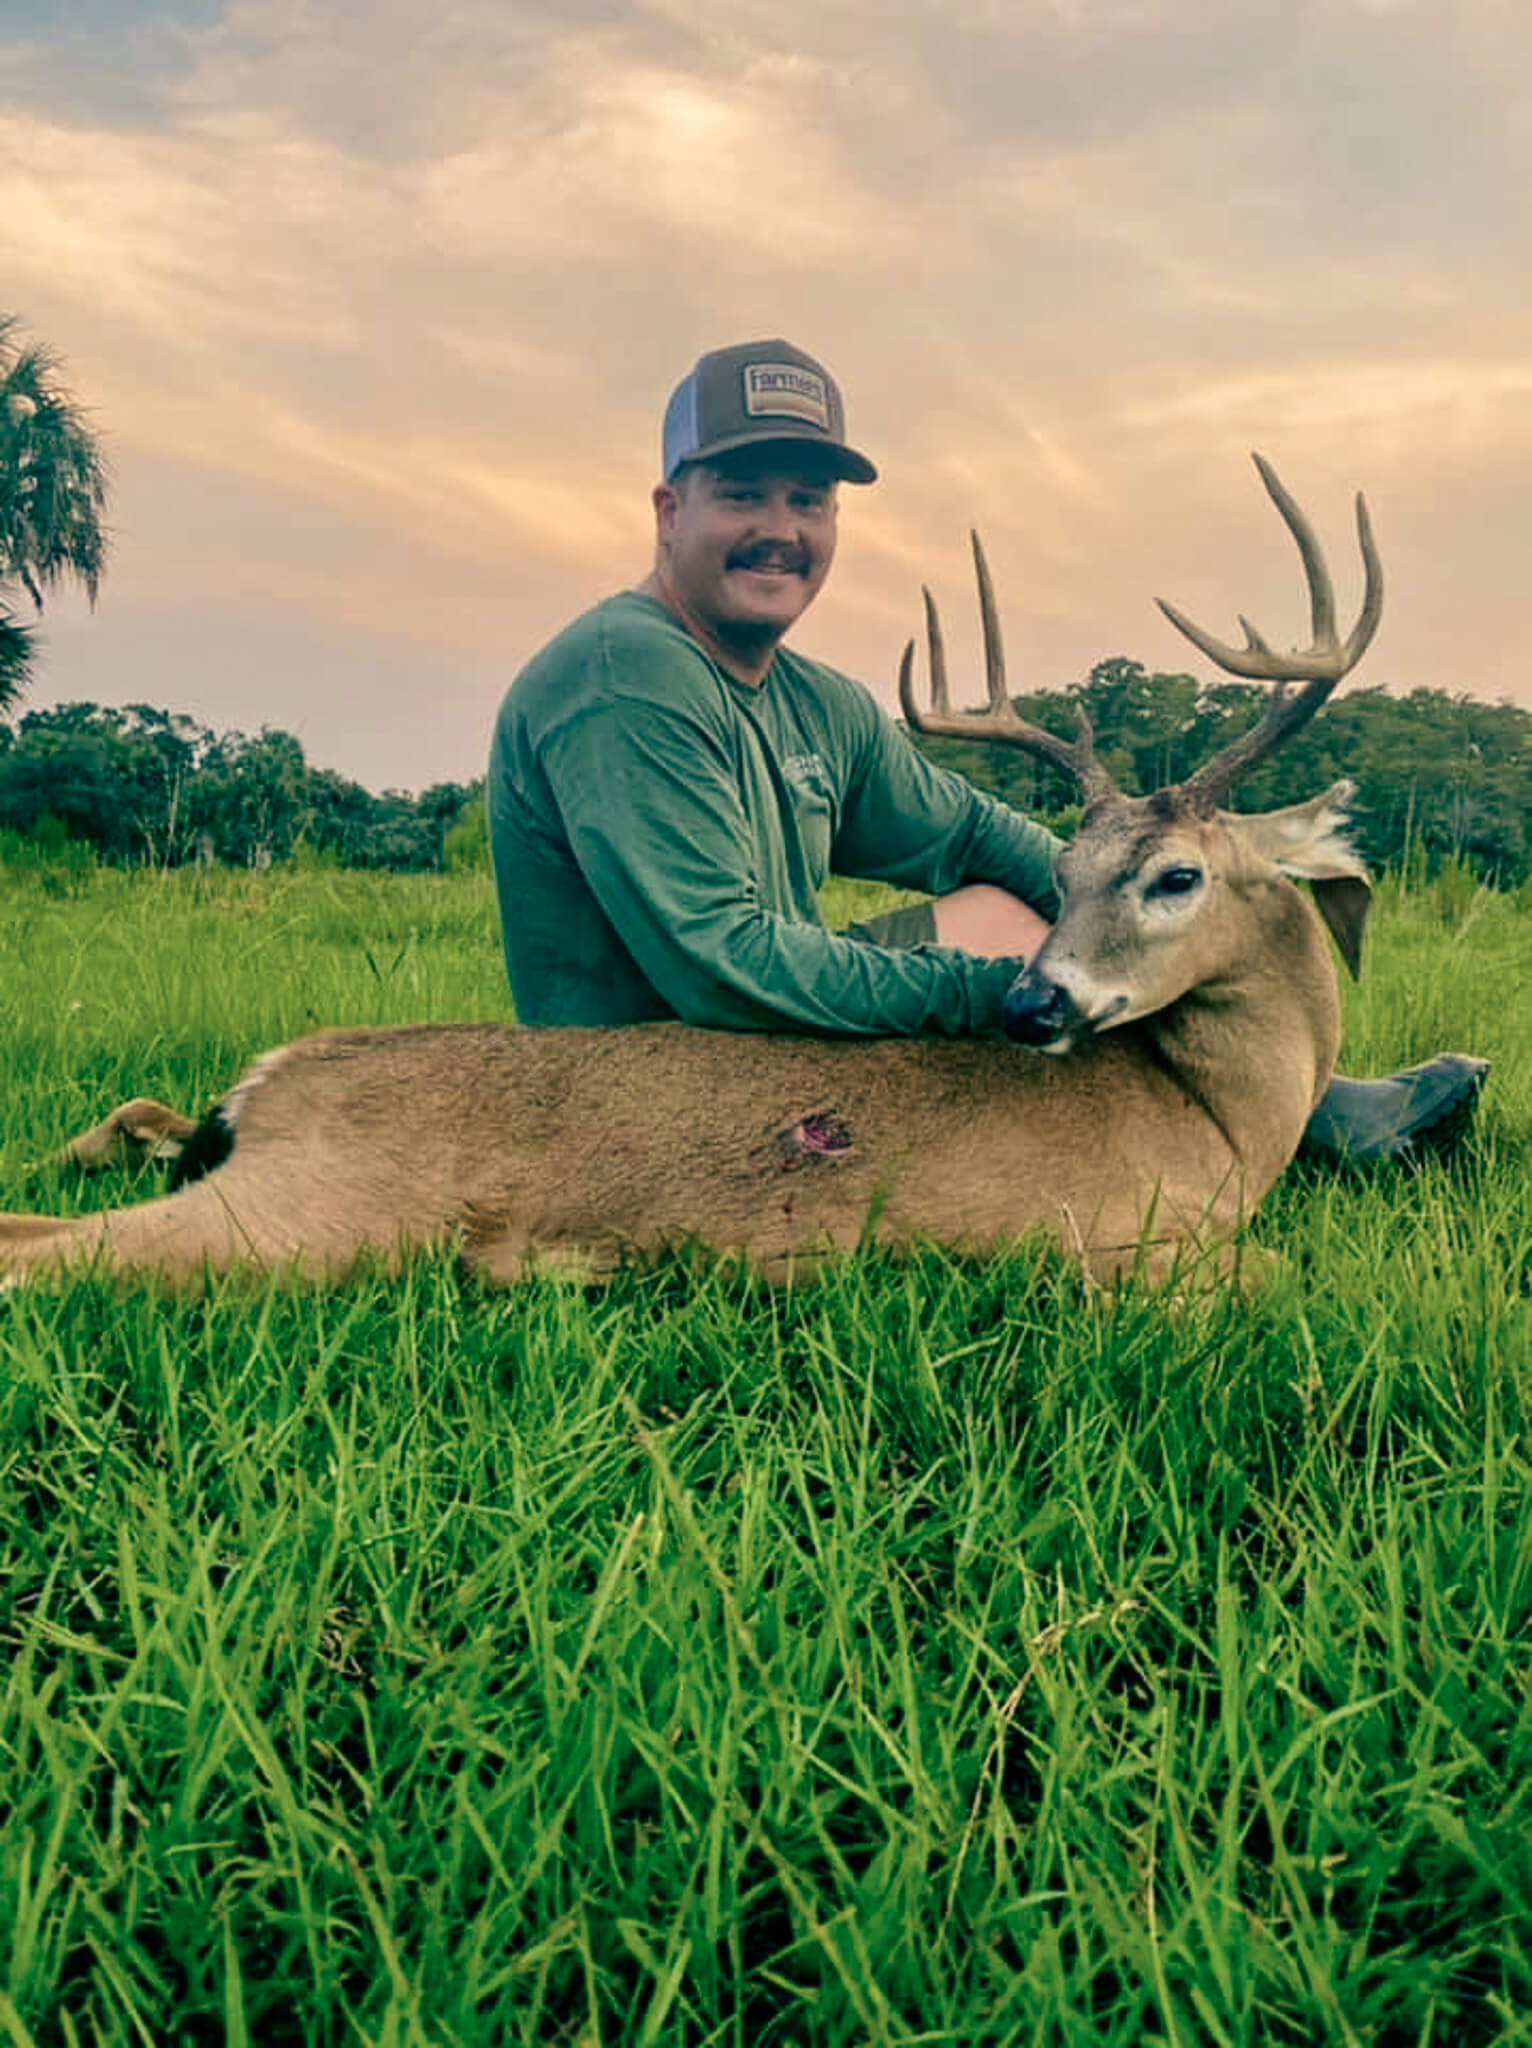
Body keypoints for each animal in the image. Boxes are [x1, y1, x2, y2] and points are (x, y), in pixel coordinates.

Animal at [1, 456, 1380, 1292]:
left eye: (1167, 874)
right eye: (1088, 867)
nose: (1032, 999)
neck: (1219, 1119)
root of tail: (271, 1078)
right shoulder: (1114, 1245)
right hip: (318, 1210)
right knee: (45, 1251)